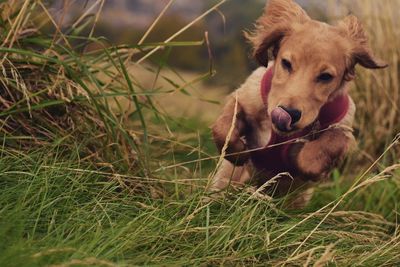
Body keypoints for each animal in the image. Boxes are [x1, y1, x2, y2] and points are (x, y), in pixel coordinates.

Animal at [211, 0, 386, 206]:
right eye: (286, 63)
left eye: (325, 76)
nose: (289, 113)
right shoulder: (244, 97)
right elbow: (224, 127)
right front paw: (239, 151)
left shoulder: (344, 128)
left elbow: (322, 148)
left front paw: (303, 160)